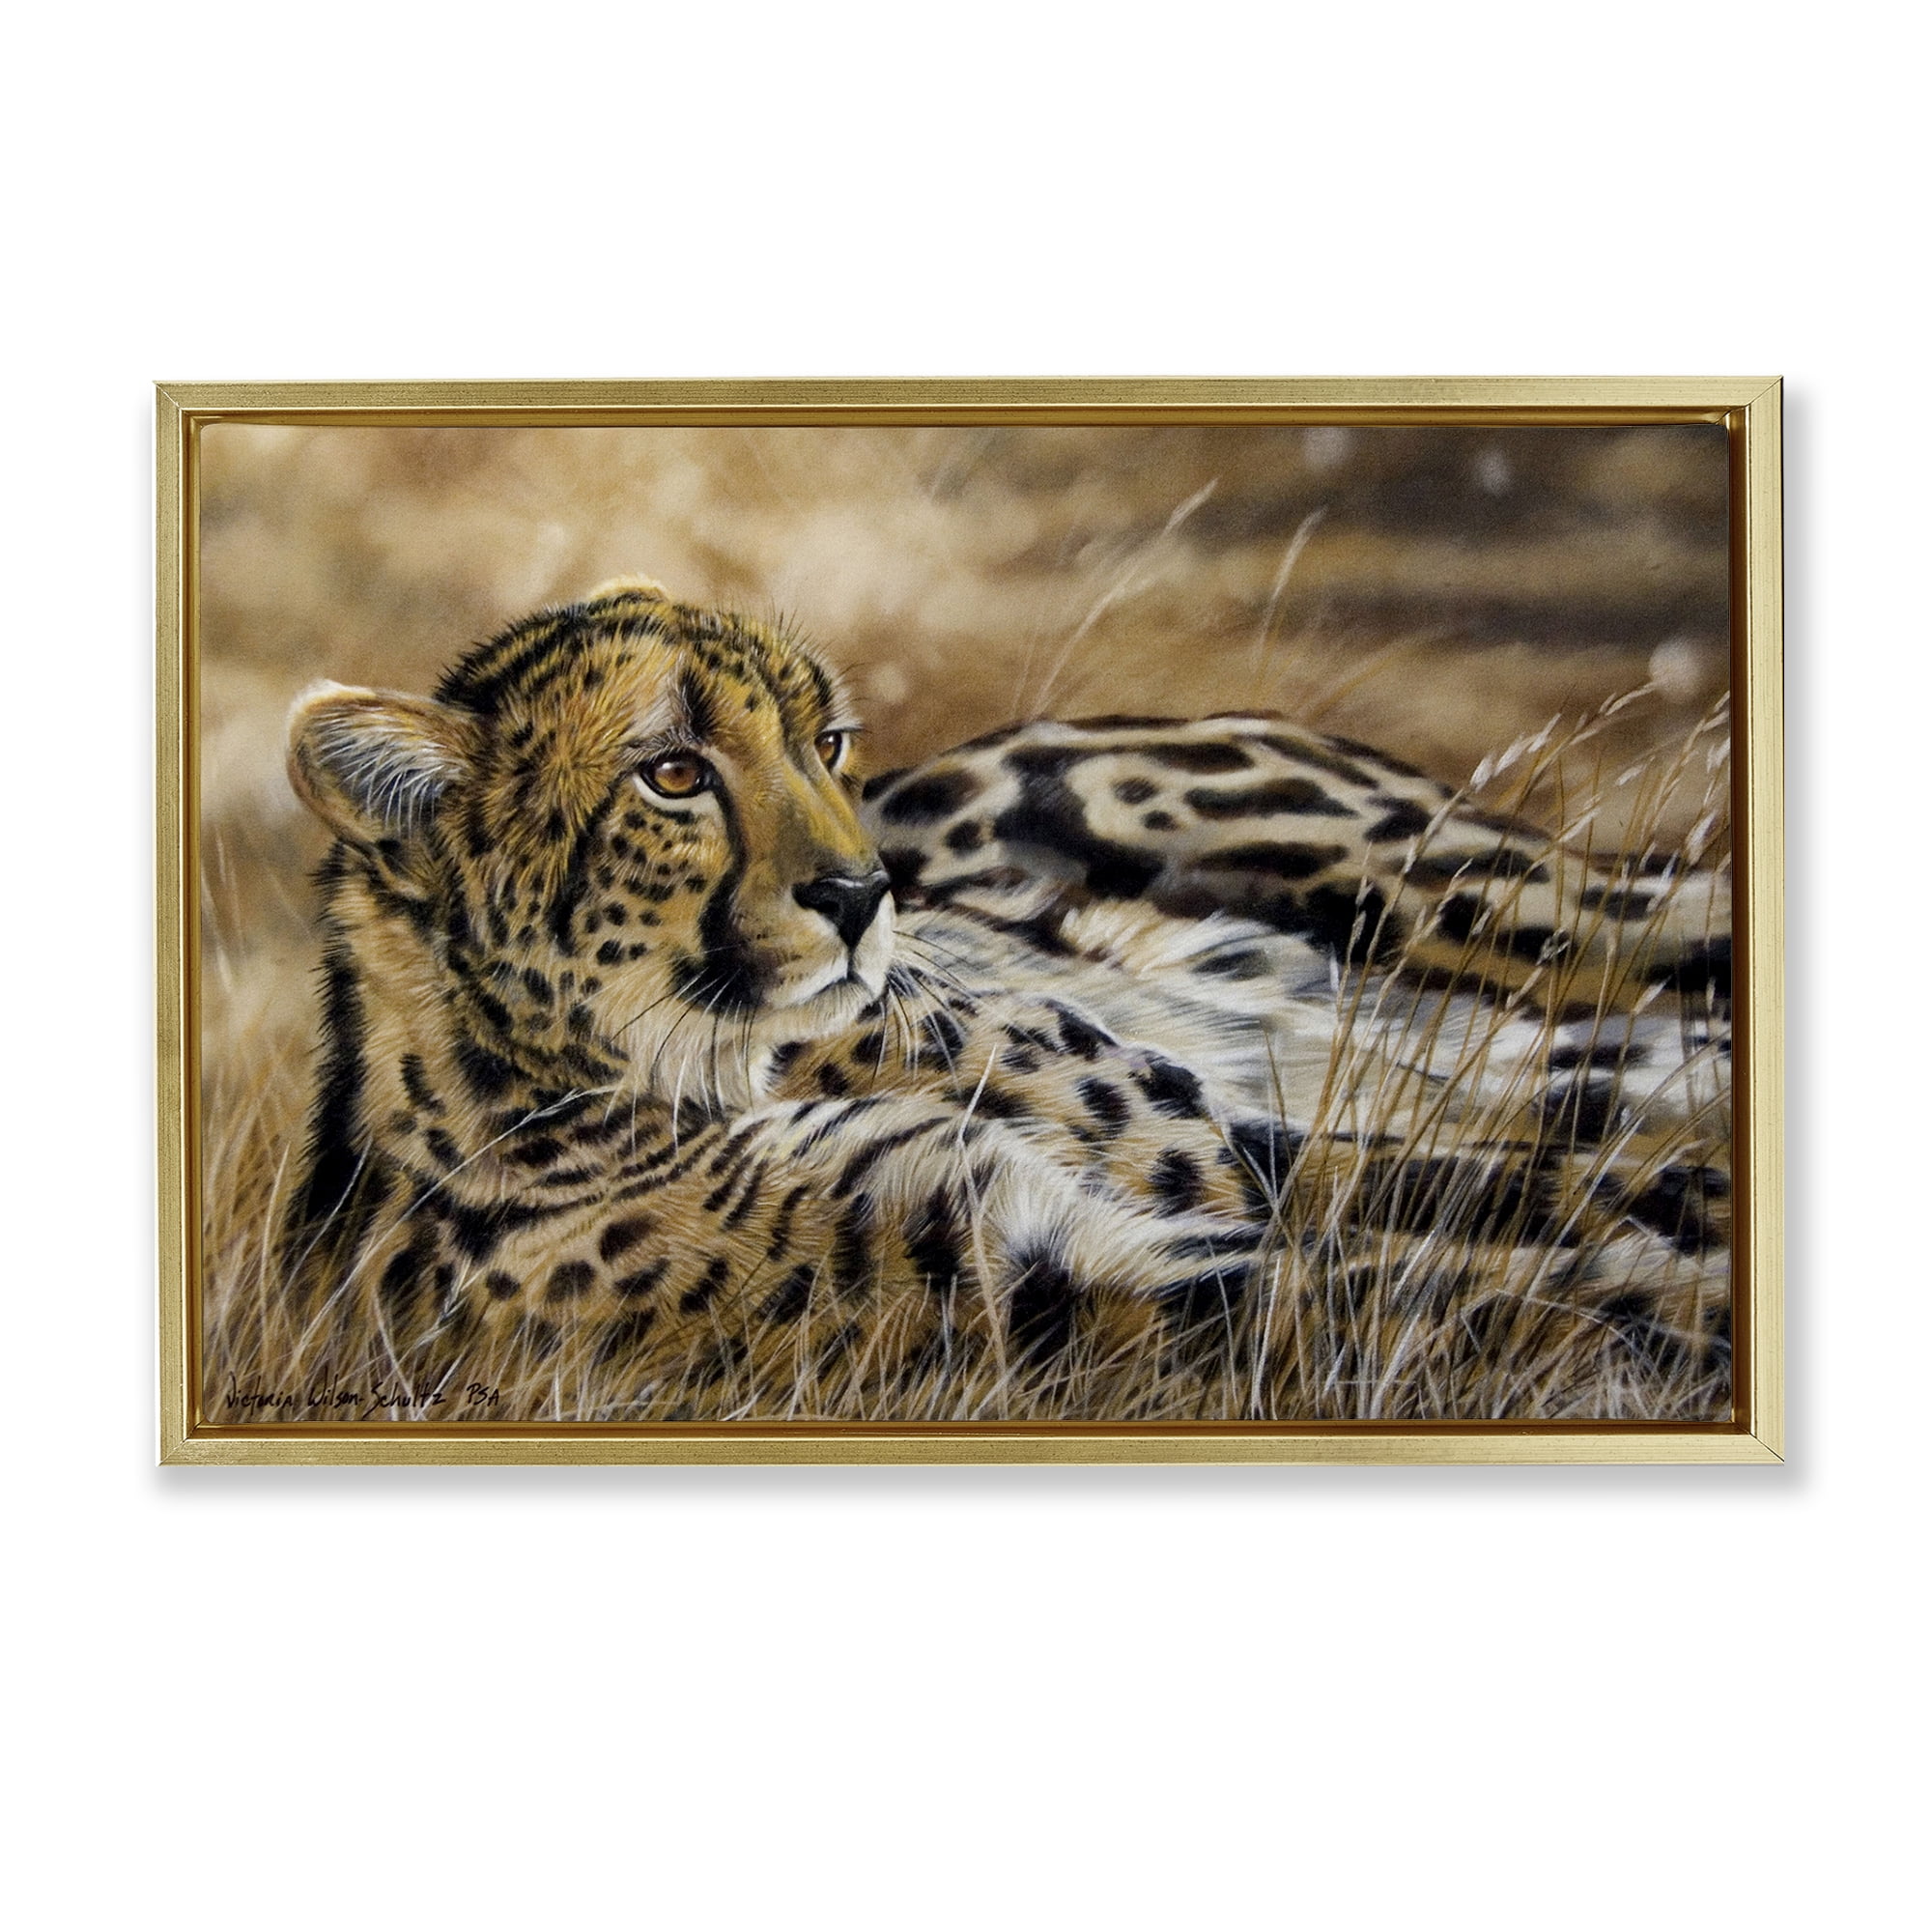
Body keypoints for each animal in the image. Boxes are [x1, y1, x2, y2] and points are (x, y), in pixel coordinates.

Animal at [273, 576, 1733, 1422]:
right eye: (672, 773)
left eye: (825, 742)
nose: (865, 891)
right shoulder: (1056, 1274)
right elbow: (1464, 1281)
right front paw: (1685, 1302)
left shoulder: (1209, 1155)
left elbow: (1513, 1198)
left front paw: (1688, 1250)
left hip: (1473, 896)